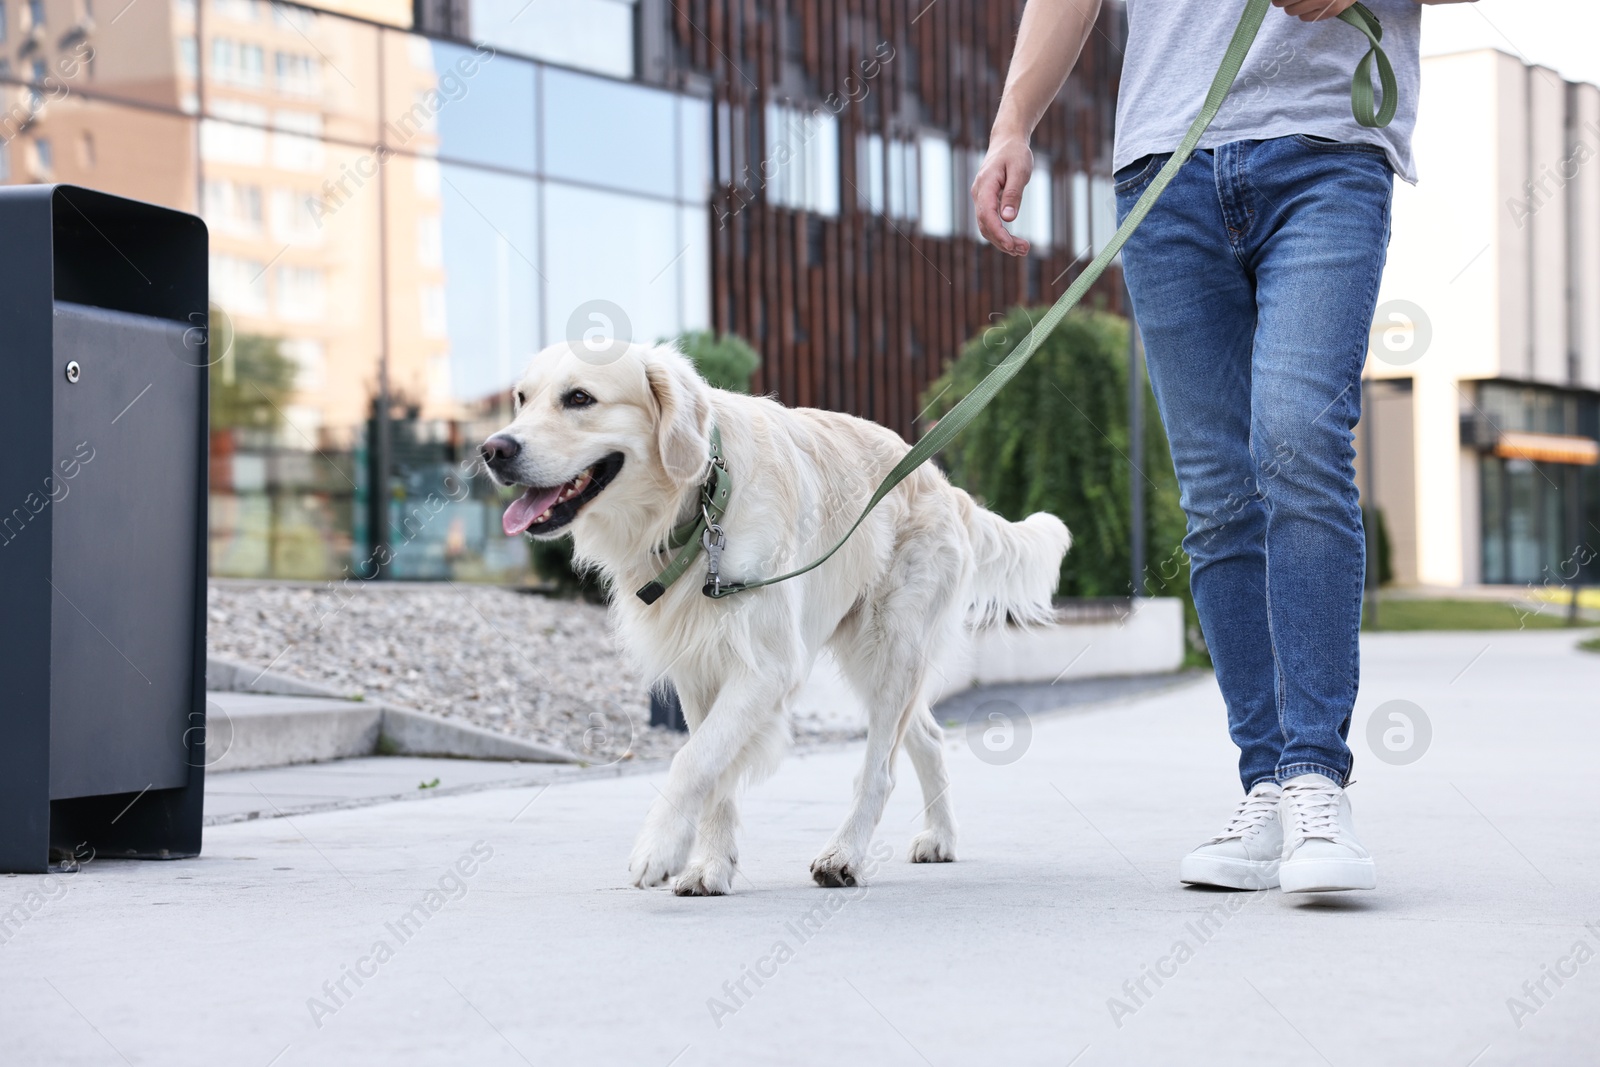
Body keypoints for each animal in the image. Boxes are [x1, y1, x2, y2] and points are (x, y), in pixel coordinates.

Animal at [480, 342, 1068, 895]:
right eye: (522, 398)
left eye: (579, 398)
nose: (493, 450)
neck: (702, 502)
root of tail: (942, 482)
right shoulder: (701, 667)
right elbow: (712, 766)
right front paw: (711, 866)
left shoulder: (766, 666)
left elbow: (692, 760)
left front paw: (659, 847)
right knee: (925, 734)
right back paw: (940, 837)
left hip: (892, 643)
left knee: (880, 768)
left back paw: (844, 855)